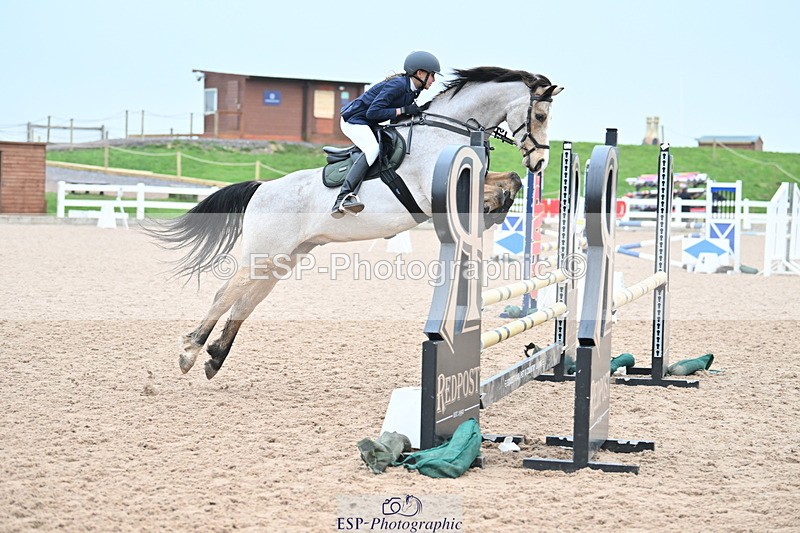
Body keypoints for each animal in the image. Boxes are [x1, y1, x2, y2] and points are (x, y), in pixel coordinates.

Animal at [148, 66, 562, 379]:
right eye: (540, 116)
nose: (541, 162)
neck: (446, 130)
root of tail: (262, 188)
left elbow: (511, 180)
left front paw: (497, 206)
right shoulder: (435, 195)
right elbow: (507, 181)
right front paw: (494, 209)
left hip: (285, 257)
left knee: (246, 301)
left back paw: (215, 356)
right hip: (264, 252)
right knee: (225, 294)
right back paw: (189, 351)